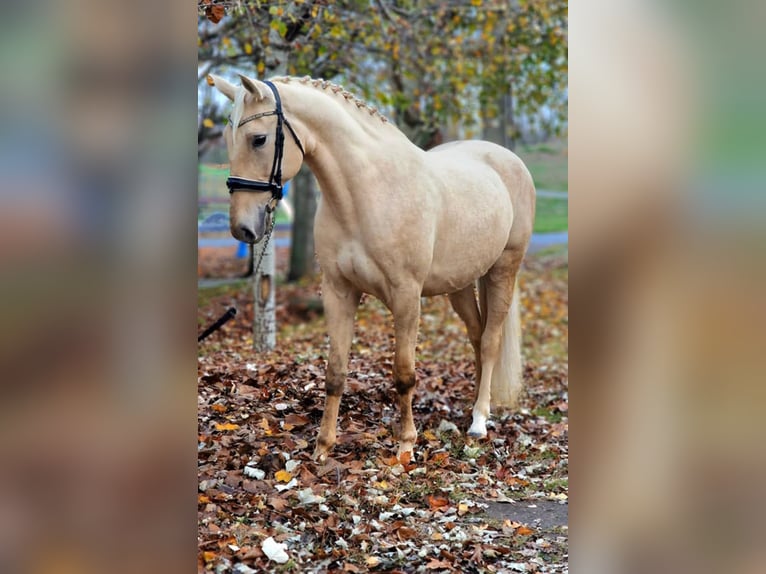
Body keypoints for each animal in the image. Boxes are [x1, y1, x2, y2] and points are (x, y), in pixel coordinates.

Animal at [208, 74, 536, 461]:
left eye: (258, 139)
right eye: (226, 138)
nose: (242, 228)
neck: (367, 192)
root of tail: (506, 159)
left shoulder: (406, 296)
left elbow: (404, 373)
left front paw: (406, 445)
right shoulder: (338, 292)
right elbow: (335, 372)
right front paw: (322, 449)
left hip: (503, 269)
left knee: (489, 341)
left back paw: (480, 420)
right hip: (460, 283)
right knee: (476, 335)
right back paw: (471, 407)